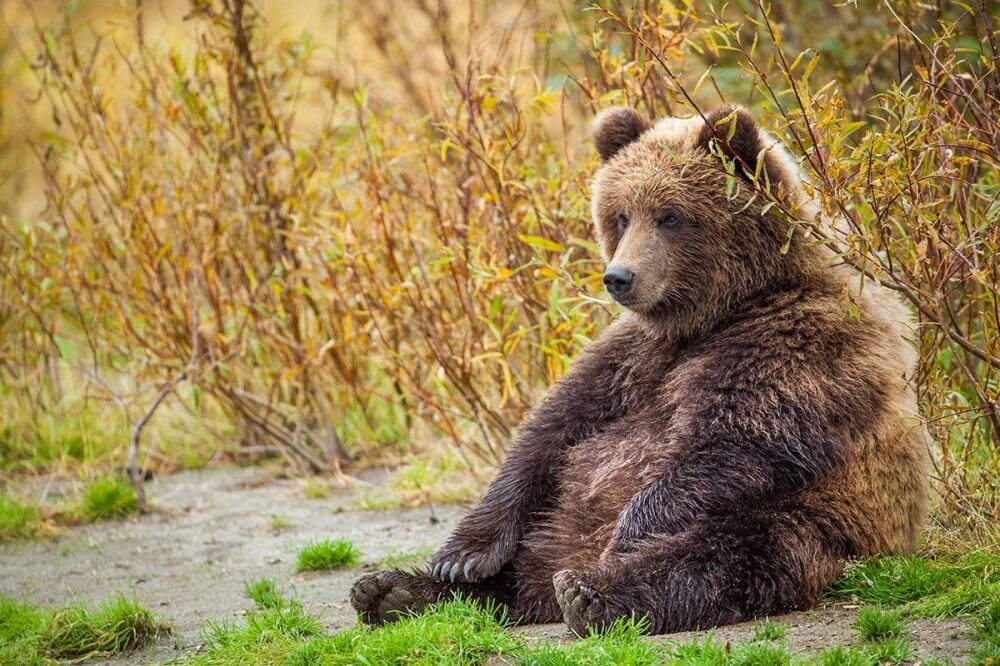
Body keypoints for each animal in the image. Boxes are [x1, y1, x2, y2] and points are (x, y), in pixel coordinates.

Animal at [350, 104, 928, 632]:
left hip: (821, 519)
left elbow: (731, 441)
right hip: (557, 524)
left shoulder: (798, 344)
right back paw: (396, 590)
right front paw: (462, 554)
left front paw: (625, 535)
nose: (619, 277)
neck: (720, 309)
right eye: (621, 214)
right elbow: (551, 432)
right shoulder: (634, 356)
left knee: (732, 552)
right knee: (522, 563)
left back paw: (587, 593)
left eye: (671, 215)